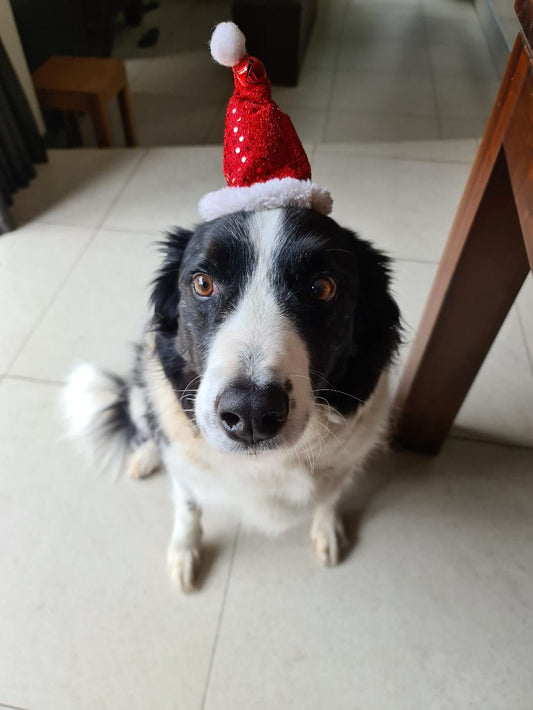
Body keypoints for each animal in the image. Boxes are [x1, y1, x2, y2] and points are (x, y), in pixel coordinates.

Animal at [64, 207, 400, 596]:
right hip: (139, 386)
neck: (266, 462)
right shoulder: (186, 467)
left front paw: (327, 530)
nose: (251, 412)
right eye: (203, 284)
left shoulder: (344, 462)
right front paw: (184, 551)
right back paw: (146, 456)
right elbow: (187, 506)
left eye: (322, 288)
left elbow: (329, 498)